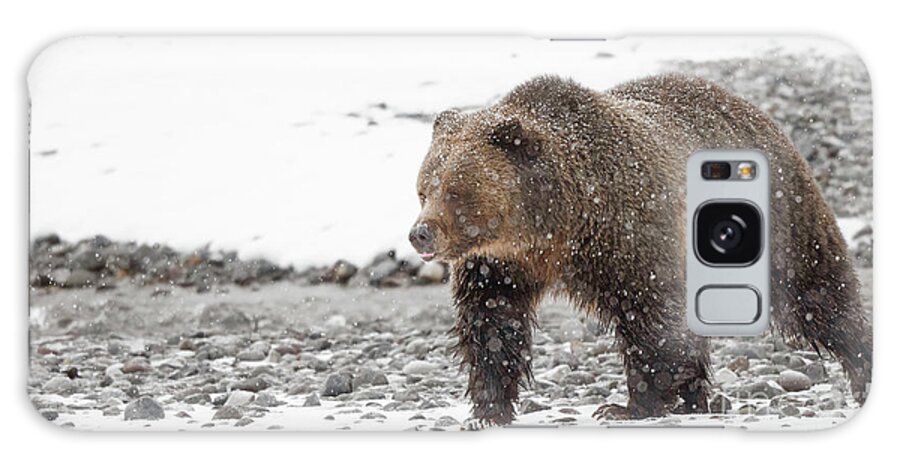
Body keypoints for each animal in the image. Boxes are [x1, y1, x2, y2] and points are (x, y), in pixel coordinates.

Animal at [410, 74, 872, 426]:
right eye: (423, 188)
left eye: (455, 190)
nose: (420, 234)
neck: (556, 226)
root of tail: (753, 109)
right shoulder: (499, 263)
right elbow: (492, 322)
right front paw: (488, 409)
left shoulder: (632, 234)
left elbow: (651, 319)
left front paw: (627, 405)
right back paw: (696, 399)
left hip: (782, 217)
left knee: (818, 294)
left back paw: (861, 368)